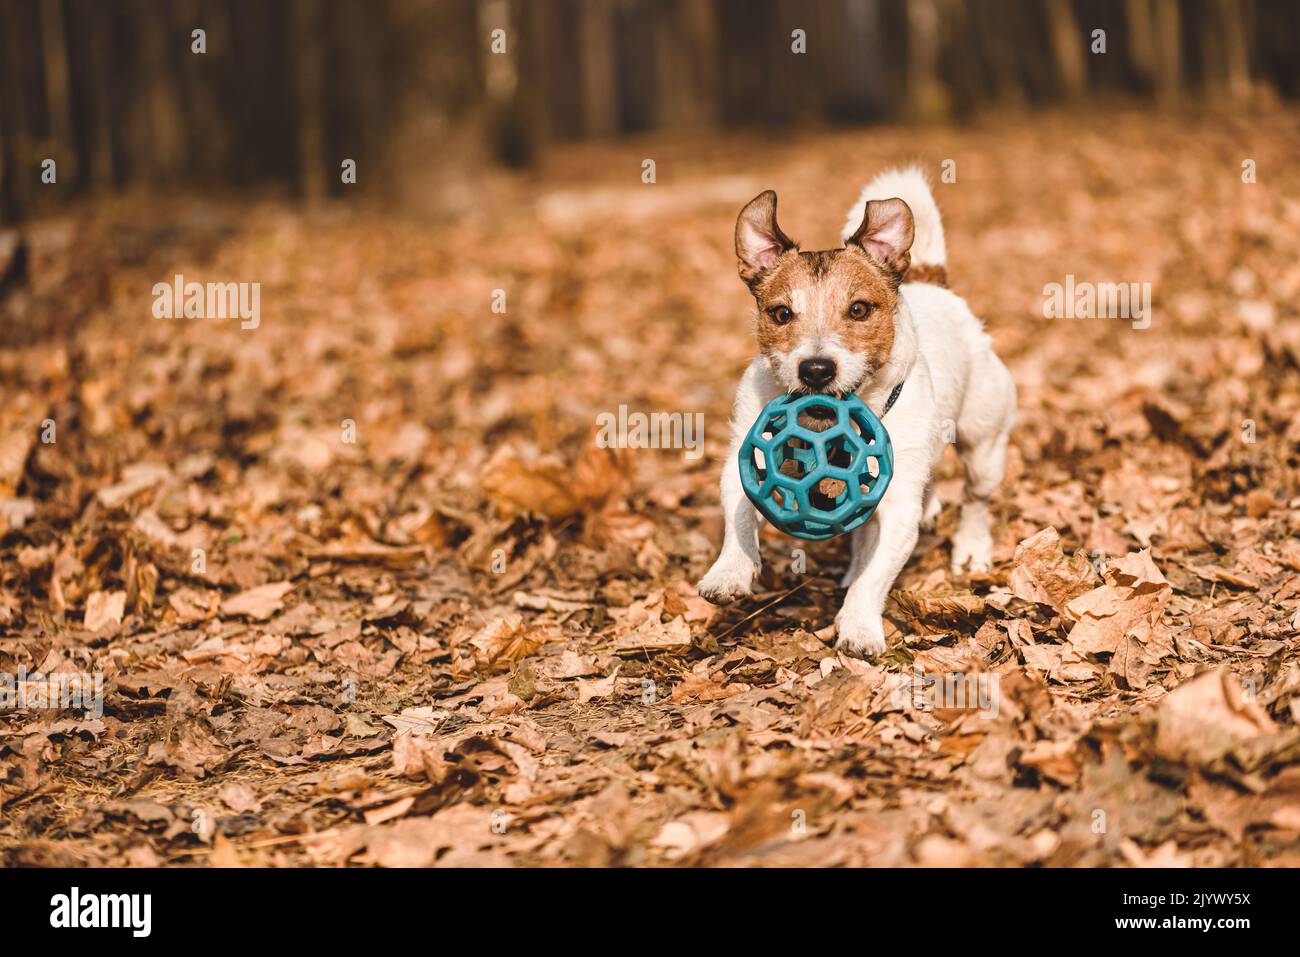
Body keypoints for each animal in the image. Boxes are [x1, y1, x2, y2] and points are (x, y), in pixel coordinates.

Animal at [702, 166, 1013, 657]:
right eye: (781, 313)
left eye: (860, 309)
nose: (815, 369)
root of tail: (931, 280)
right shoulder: (743, 460)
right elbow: (740, 517)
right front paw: (729, 572)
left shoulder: (899, 504)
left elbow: (875, 577)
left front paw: (860, 627)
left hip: (985, 441)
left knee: (975, 498)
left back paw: (971, 548)